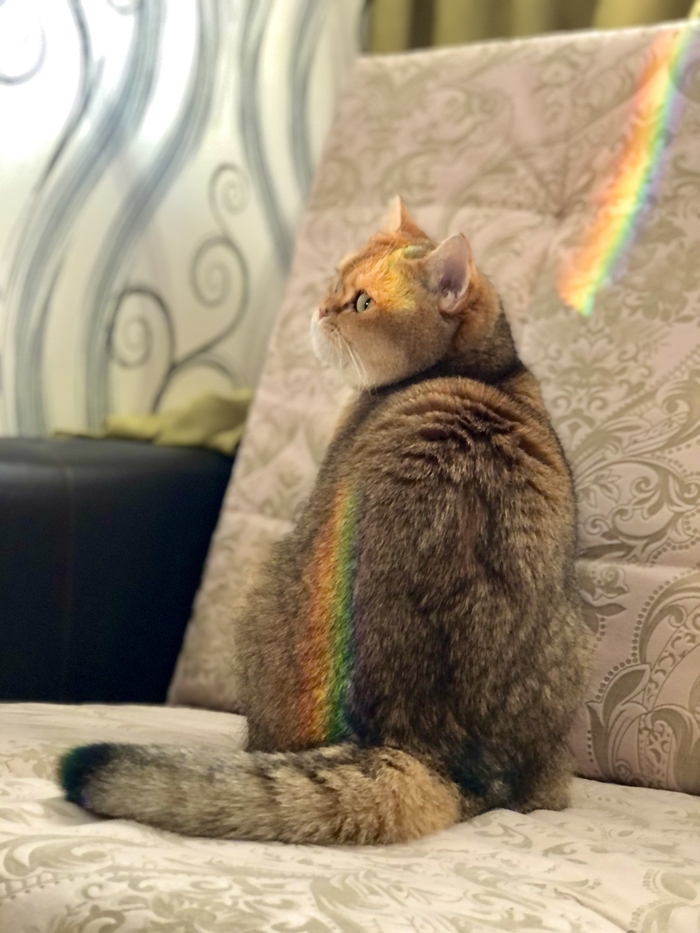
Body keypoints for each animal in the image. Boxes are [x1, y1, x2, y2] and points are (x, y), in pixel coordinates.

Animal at [59, 198, 591, 846]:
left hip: (270, 585)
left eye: (363, 303)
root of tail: (428, 747)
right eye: (337, 280)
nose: (320, 307)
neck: (482, 370)